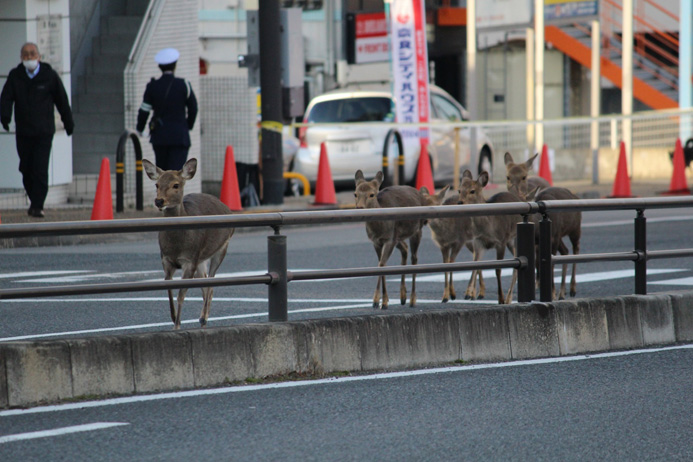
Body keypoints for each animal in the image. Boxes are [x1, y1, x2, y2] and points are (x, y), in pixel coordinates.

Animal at [143, 159, 235, 328]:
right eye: (157, 184)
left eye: (176, 185)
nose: (159, 201)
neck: (177, 246)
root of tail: (226, 207)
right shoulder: (166, 259)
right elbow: (169, 290)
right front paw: (174, 319)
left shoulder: (189, 260)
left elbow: (181, 294)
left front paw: (177, 325)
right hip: (200, 259)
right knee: (204, 282)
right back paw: (202, 319)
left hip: (221, 248)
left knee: (211, 282)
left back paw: (204, 317)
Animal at [354, 170, 424, 310]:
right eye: (355, 194)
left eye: (372, 194)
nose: (359, 207)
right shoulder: (376, 241)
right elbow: (380, 264)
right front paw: (378, 300)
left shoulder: (389, 239)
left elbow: (382, 264)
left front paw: (382, 302)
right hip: (398, 237)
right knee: (405, 249)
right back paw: (402, 296)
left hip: (416, 231)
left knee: (414, 258)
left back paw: (412, 299)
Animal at [456, 170, 536, 304]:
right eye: (459, 190)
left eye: (472, 191)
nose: (459, 202)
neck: (488, 226)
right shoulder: (478, 242)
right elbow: (475, 265)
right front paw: (469, 293)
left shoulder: (500, 241)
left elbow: (498, 270)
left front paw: (501, 299)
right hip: (510, 242)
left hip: (514, 239)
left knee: (517, 265)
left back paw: (508, 298)